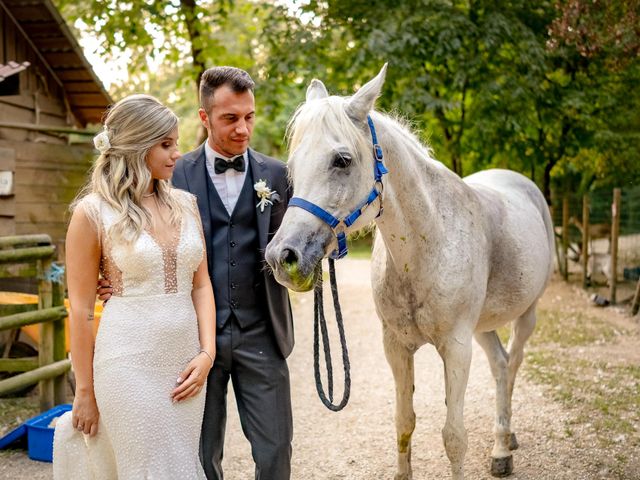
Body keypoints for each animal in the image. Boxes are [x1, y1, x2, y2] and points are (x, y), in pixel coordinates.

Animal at [264, 64, 556, 480]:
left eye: (342, 160)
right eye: (292, 166)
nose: (282, 257)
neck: (428, 245)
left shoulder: (457, 347)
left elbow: (454, 437)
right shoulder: (397, 347)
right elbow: (404, 421)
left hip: (526, 315)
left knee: (512, 364)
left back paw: (502, 445)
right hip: (483, 326)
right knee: (500, 365)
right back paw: (505, 442)